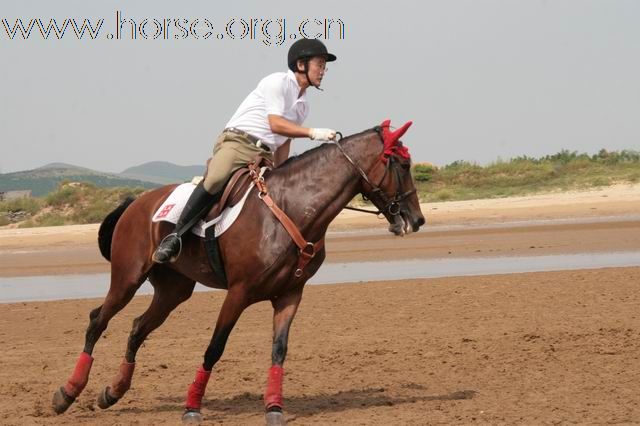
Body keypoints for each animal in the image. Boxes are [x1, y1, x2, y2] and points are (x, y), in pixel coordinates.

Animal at [51, 120, 424, 422]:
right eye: (403, 164)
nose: (417, 220)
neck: (292, 209)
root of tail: (135, 203)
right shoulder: (238, 293)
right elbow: (214, 348)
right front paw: (192, 406)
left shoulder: (290, 295)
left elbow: (279, 350)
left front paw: (274, 406)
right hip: (128, 278)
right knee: (98, 320)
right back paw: (67, 392)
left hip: (174, 290)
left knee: (137, 328)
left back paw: (113, 391)